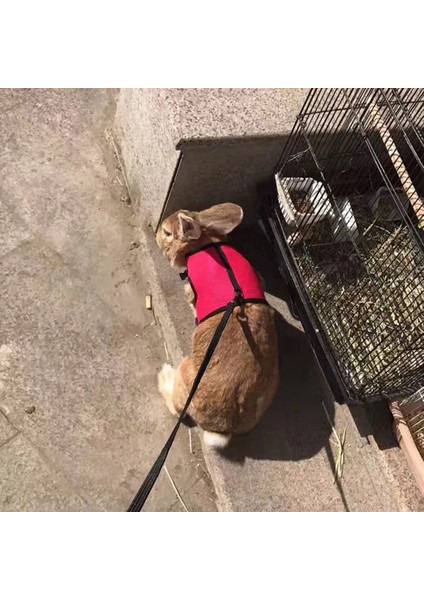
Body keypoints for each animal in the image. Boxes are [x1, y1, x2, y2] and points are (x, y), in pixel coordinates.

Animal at [155, 204, 278, 448]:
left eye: (167, 233)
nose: (155, 236)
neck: (204, 243)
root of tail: (223, 426)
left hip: (186, 372)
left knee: (177, 409)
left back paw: (164, 377)